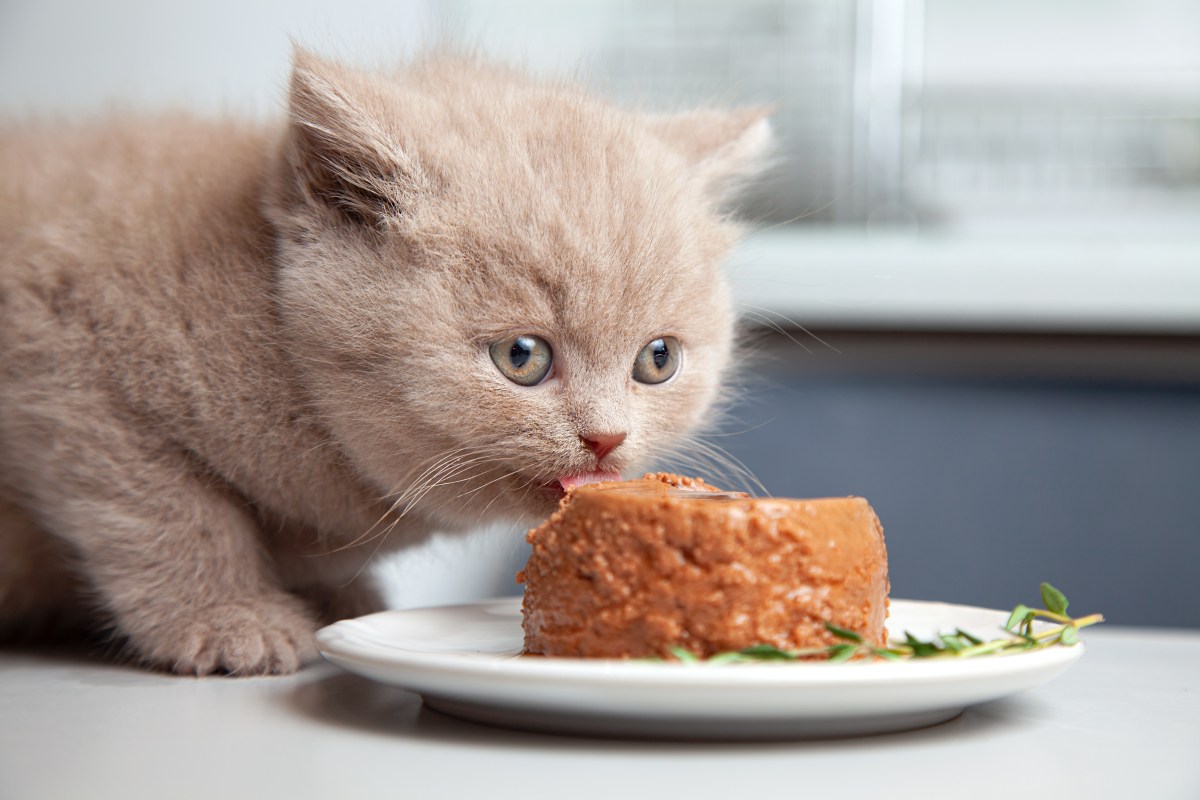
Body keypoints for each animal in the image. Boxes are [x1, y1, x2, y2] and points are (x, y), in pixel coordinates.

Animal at [0, 48, 768, 676]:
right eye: (521, 357)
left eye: (657, 360)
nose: (607, 438)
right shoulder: (62, 358)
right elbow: (166, 509)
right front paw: (227, 616)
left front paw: (337, 597)